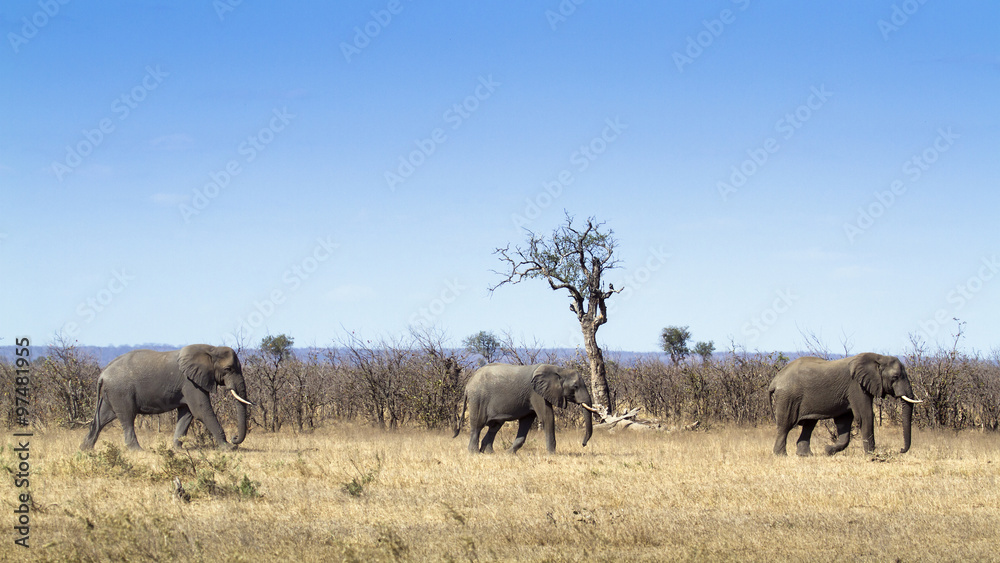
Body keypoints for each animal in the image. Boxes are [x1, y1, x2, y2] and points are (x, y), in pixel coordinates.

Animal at [82, 344, 254, 454]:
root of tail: (102, 375)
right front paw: (228, 448)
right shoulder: (190, 382)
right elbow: (202, 412)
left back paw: (85, 449)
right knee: (127, 417)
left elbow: (186, 414)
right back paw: (138, 451)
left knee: (102, 419)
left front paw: (178, 449)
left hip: (110, 394)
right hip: (121, 391)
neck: (211, 349)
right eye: (228, 369)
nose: (234, 438)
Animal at [454, 366, 592, 454]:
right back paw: (474, 453)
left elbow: (526, 421)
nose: (583, 444)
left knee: (494, 427)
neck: (559, 370)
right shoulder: (536, 393)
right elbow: (547, 417)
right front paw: (552, 454)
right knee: (478, 425)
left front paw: (509, 453)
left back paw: (489, 453)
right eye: (575, 386)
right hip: (478, 399)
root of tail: (468, 384)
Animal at [768, 352, 924, 458]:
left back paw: (806, 455)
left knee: (809, 425)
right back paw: (781, 455)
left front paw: (828, 450)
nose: (901, 450)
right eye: (895, 377)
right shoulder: (856, 386)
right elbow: (865, 415)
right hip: (788, 397)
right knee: (785, 425)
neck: (878, 357)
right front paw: (871, 455)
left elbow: (844, 421)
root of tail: (775, 380)